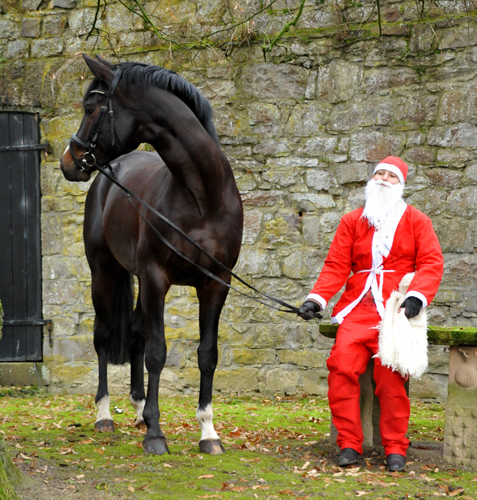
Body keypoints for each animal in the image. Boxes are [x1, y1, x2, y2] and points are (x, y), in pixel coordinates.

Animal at [59, 52, 244, 456]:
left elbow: (207, 354)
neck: (203, 197)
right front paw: (157, 435)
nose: (69, 161)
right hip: (104, 271)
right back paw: (105, 416)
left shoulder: (215, 284)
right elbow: (158, 352)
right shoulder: (158, 277)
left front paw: (208, 433)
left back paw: (140, 411)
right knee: (104, 335)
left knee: (134, 333)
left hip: (141, 282)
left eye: (91, 108)